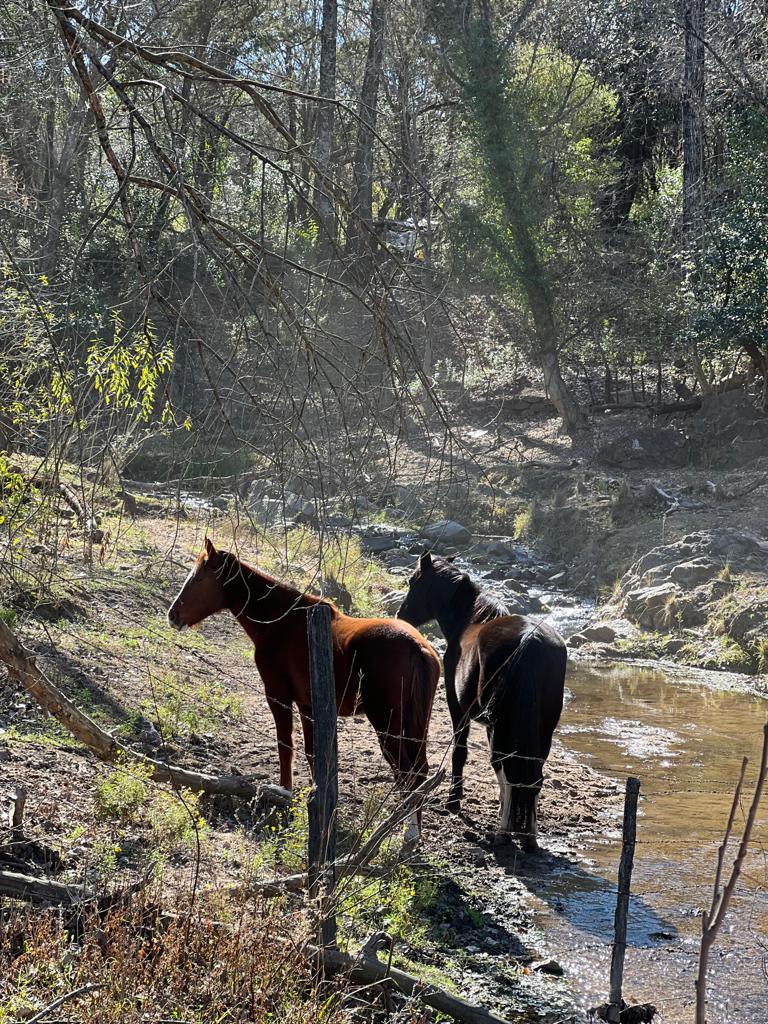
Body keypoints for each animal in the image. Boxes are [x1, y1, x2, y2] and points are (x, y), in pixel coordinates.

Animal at [171, 540, 442, 835]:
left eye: (198, 578)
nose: (172, 615)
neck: (281, 623)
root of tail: (417, 647)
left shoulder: (278, 696)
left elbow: (285, 746)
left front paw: (285, 792)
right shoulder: (307, 705)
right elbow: (313, 755)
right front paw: (317, 798)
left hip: (387, 724)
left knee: (408, 774)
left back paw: (408, 833)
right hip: (415, 726)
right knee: (420, 772)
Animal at [399, 557, 569, 851]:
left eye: (413, 581)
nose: (401, 614)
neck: (471, 620)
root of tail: (529, 640)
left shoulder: (459, 709)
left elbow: (461, 752)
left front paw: (454, 801)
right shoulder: (492, 725)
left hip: (503, 724)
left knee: (510, 768)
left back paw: (504, 833)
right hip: (541, 729)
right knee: (532, 775)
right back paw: (529, 836)